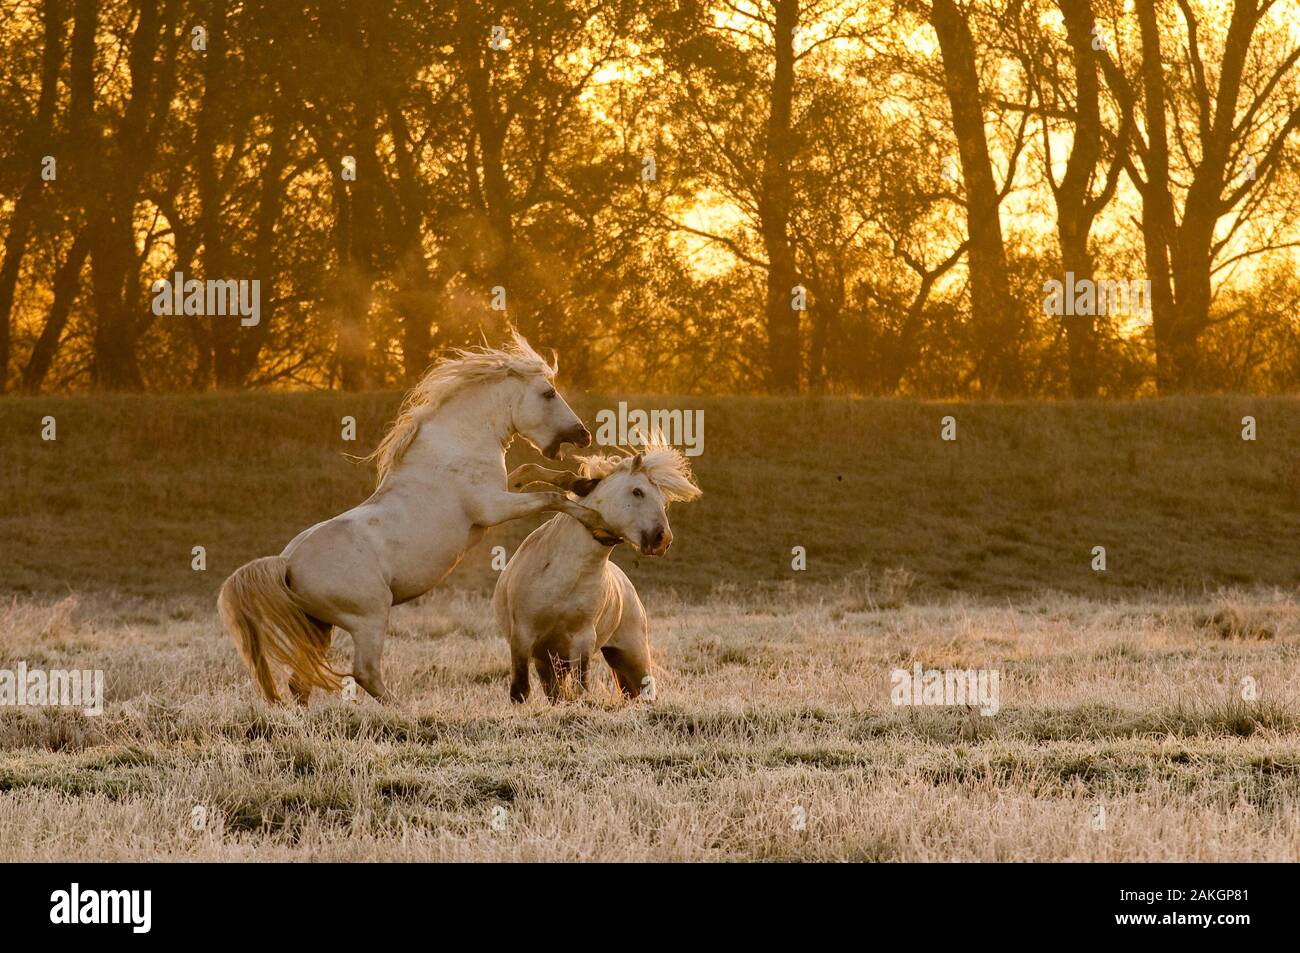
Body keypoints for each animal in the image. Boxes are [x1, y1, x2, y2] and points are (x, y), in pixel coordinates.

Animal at [219, 330, 613, 702]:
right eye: (548, 393)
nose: (583, 434)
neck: (456, 443)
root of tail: (286, 562)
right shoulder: (493, 507)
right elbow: (549, 497)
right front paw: (597, 522)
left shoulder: (502, 490)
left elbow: (533, 473)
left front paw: (581, 480)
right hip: (369, 618)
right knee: (364, 672)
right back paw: (401, 709)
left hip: (318, 626)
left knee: (300, 681)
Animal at [491, 439, 702, 696]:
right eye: (637, 491)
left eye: (663, 502)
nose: (663, 540)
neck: (565, 576)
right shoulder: (523, 636)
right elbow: (520, 690)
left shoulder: (582, 640)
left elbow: (582, 686)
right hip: (548, 662)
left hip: (632, 656)